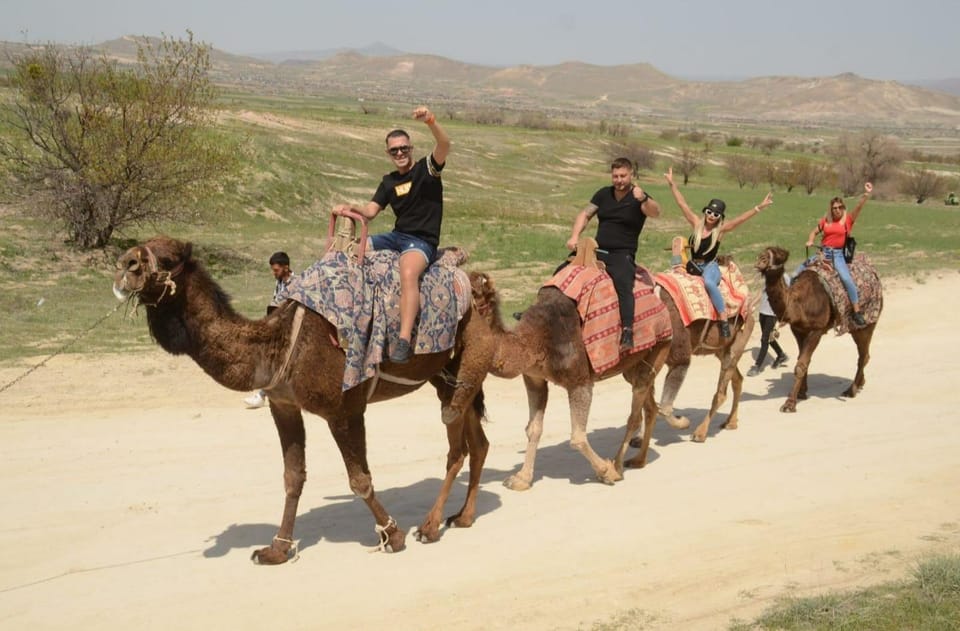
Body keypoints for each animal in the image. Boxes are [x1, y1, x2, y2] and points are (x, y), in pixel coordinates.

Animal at [112, 237, 496, 564]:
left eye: (168, 258)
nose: (125, 263)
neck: (280, 344)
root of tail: (478, 283)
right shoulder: (284, 406)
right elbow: (292, 476)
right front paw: (276, 550)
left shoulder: (344, 409)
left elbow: (359, 479)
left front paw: (392, 535)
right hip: (445, 375)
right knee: (477, 441)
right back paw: (463, 517)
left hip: (465, 361)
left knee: (456, 443)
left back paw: (429, 527)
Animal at [470, 274, 668, 492]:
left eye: (472, 293)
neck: (533, 340)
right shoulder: (534, 379)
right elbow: (533, 429)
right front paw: (521, 479)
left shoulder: (580, 381)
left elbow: (577, 438)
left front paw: (606, 472)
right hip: (632, 365)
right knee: (649, 406)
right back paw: (639, 460)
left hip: (660, 347)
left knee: (635, 414)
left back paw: (616, 466)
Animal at [752, 244, 880, 412]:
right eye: (762, 254)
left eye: (779, 255)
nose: (760, 260)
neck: (799, 304)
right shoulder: (798, 330)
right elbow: (802, 361)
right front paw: (801, 393)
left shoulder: (816, 330)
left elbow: (801, 365)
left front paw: (789, 403)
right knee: (863, 354)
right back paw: (860, 384)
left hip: (867, 323)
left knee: (863, 355)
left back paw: (850, 390)